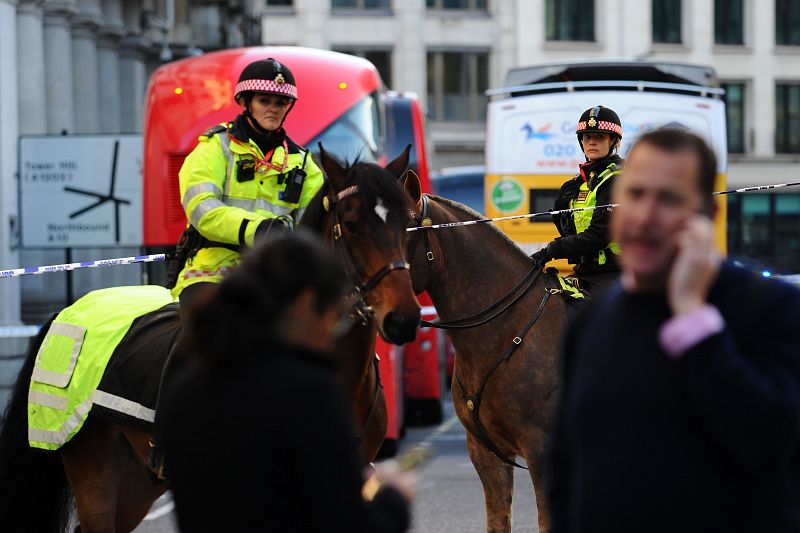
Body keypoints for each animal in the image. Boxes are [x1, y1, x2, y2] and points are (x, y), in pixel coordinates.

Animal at [0, 147, 420, 533]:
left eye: (407, 222)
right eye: (351, 224)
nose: (403, 318)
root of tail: (68, 311)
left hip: (136, 482)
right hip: (94, 472)